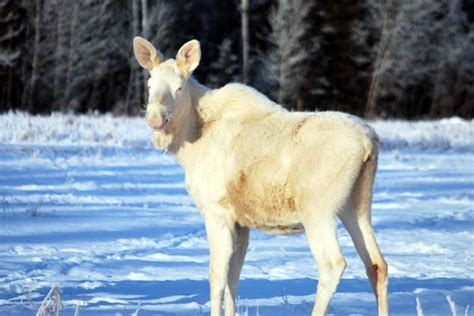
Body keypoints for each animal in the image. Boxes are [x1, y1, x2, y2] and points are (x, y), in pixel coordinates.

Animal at [132, 37, 388, 316]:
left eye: (179, 88)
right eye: (149, 85)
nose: (155, 118)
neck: (188, 146)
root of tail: (368, 143)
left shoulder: (216, 212)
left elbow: (216, 276)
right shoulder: (241, 222)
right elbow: (233, 279)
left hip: (317, 207)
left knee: (333, 264)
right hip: (356, 205)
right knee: (377, 264)